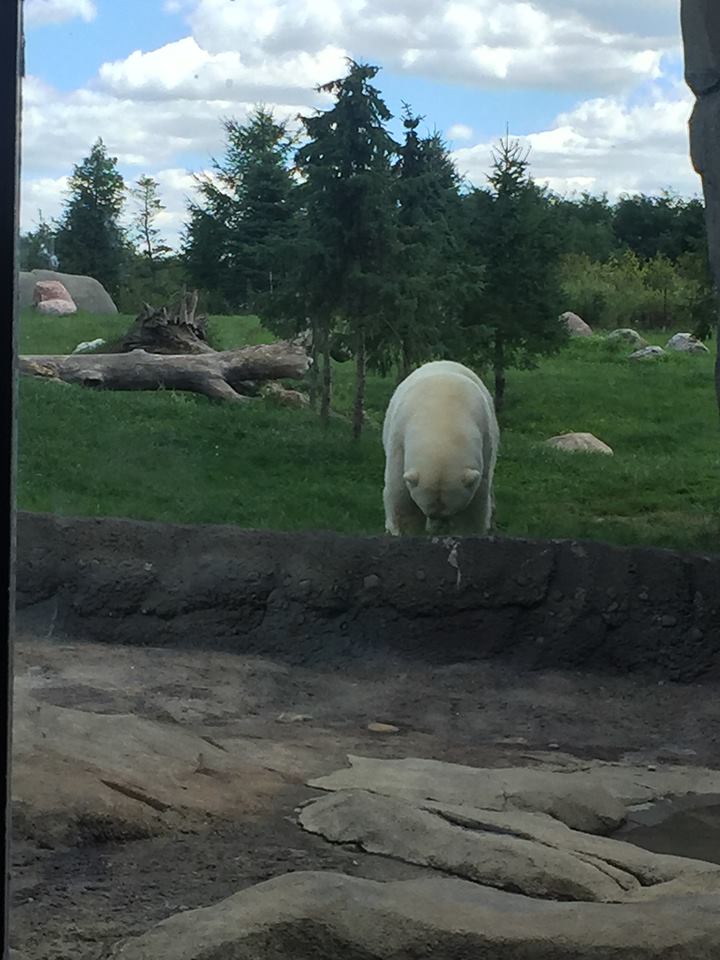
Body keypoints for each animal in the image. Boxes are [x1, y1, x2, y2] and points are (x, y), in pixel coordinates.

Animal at [382, 360, 499, 537]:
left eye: (450, 512)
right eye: (429, 512)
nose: (439, 525)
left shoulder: (485, 434)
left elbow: (476, 501)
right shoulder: (399, 435)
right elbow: (400, 494)